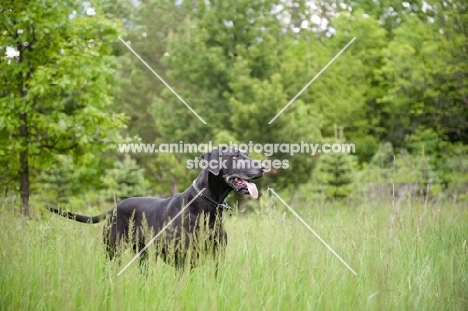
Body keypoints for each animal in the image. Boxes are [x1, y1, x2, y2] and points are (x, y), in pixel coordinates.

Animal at [50, 147, 266, 270]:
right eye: (236, 156)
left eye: (246, 154)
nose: (264, 166)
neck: (207, 206)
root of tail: (114, 208)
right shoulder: (183, 259)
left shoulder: (217, 256)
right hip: (113, 251)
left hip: (142, 255)